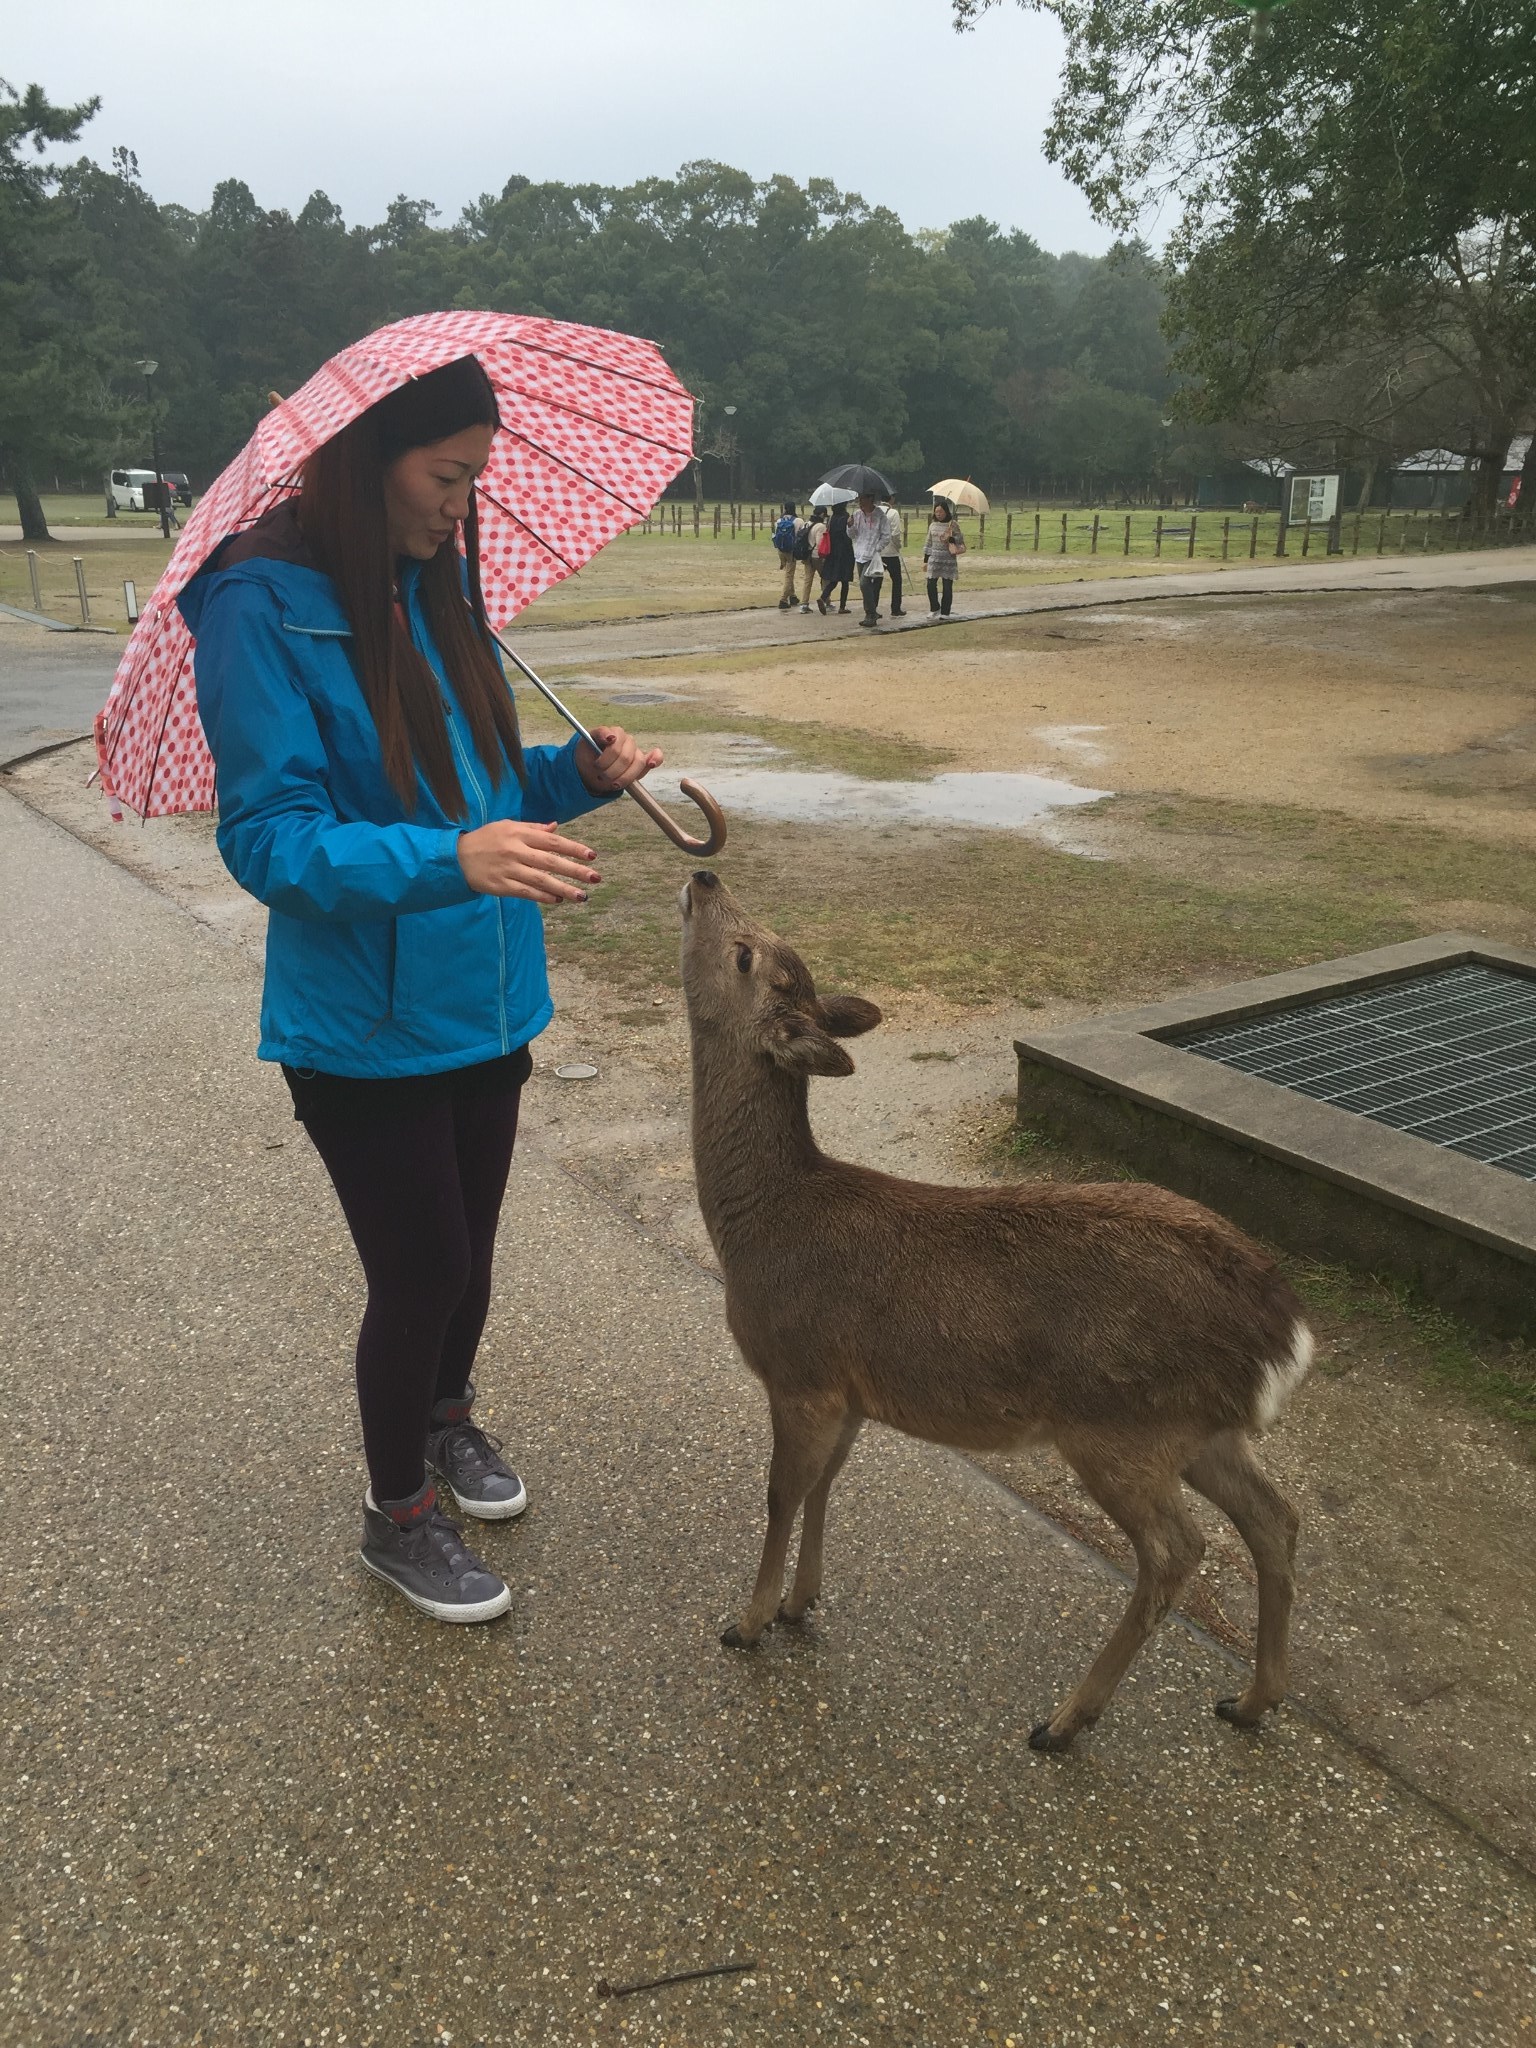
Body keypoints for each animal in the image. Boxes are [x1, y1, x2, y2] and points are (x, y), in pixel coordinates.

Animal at [679, 872, 1318, 1753]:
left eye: (746, 952)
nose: (704, 876)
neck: (759, 1227)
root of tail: (1282, 1324)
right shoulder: (849, 1391)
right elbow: (823, 1488)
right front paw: (800, 1604)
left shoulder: (800, 1368)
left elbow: (779, 1492)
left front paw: (746, 1621)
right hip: (1198, 1426)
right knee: (1275, 1520)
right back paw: (1253, 1700)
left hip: (1117, 1423)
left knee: (1176, 1550)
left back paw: (1065, 1720)